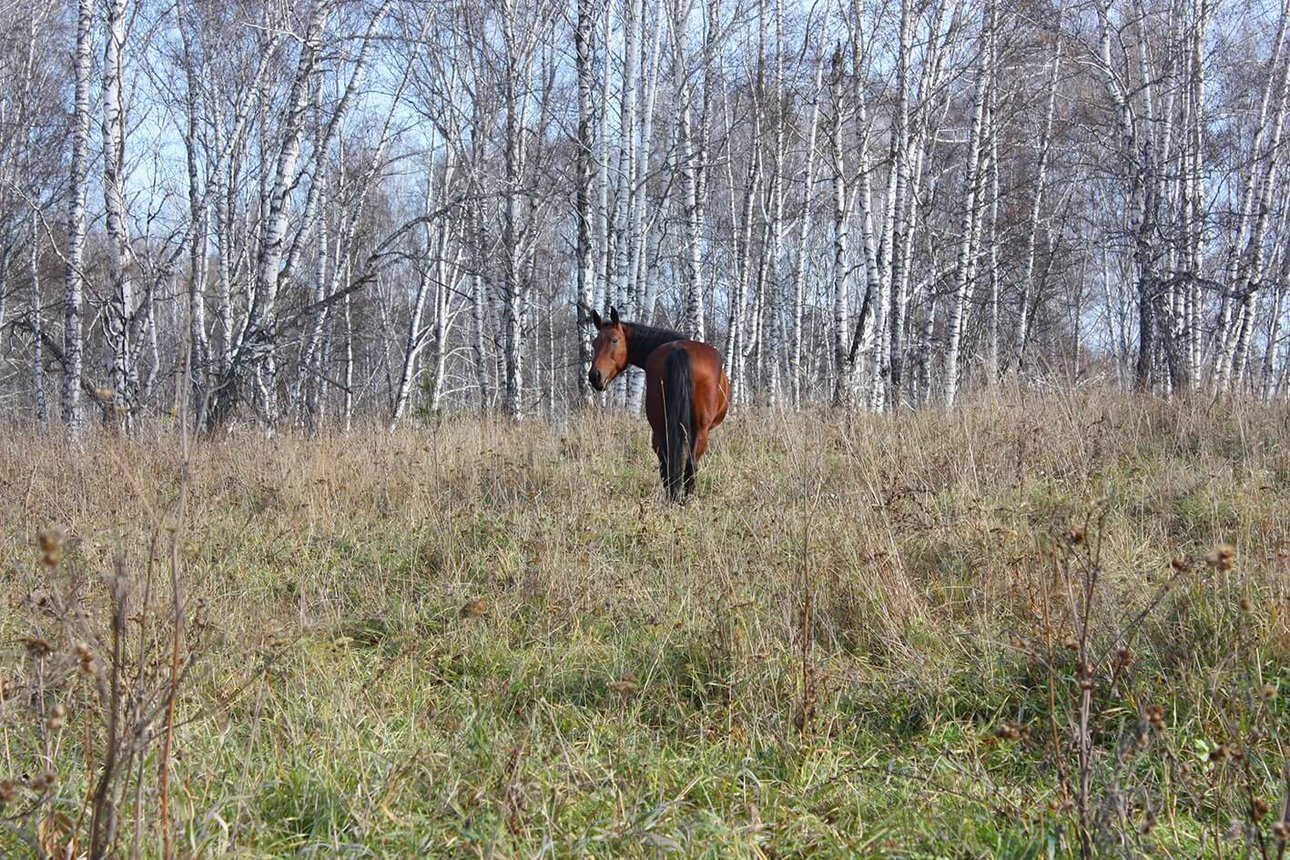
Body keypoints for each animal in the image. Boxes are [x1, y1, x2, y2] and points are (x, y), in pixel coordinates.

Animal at [590, 305, 732, 500]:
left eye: (614, 340)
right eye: (594, 344)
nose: (594, 376)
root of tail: (680, 350)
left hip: (659, 425)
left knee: (667, 464)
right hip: (698, 430)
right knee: (690, 465)